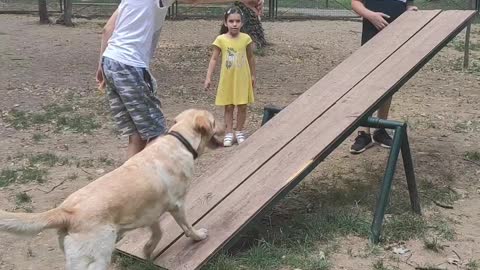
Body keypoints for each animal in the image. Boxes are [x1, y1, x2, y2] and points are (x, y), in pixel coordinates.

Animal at [0, 108, 222, 268]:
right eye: (214, 121)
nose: (225, 126)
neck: (179, 141)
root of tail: (67, 211)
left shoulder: (150, 212)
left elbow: (157, 233)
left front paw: (147, 251)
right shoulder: (177, 205)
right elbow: (188, 227)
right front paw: (198, 236)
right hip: (96, 258)